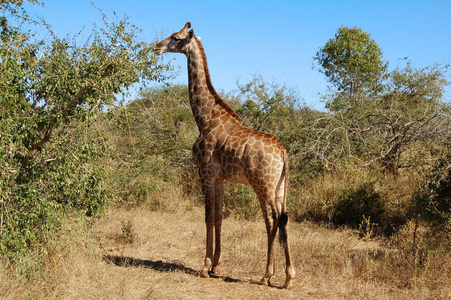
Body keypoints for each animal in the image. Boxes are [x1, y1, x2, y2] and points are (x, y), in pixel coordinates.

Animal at [155, 22, 296, 290]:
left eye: (175, 38)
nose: (156, 47)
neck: (204, 117)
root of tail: (283, 153)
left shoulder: (205, 172)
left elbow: (208, 216)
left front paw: (204, 267)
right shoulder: (220, 178)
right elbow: (220, 216)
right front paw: (216, 265)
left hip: (263, 185)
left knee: (273, 220)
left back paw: (270, 275)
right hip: (281, 187)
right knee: (283, 218)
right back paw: (285, 277)